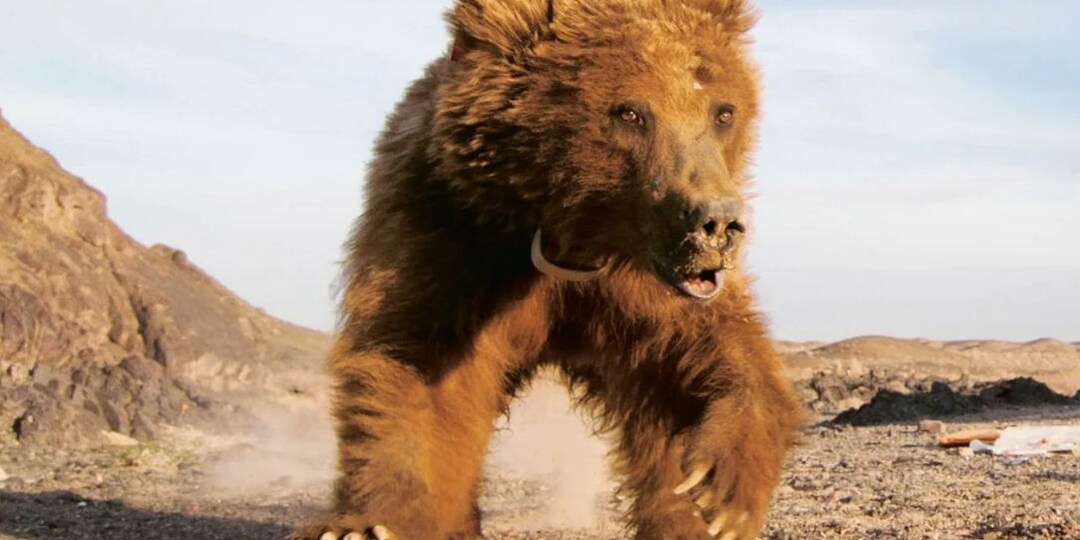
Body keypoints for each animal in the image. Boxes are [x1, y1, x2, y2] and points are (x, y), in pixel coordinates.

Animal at [294, 0, 803, 538]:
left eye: (723, 111)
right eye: (630, 112)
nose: (718, 223)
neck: (569, 238)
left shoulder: (642, 284)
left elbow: (700, 358)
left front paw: (719, 492)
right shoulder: (454, 237)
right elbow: (416, 367)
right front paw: (367, 524)